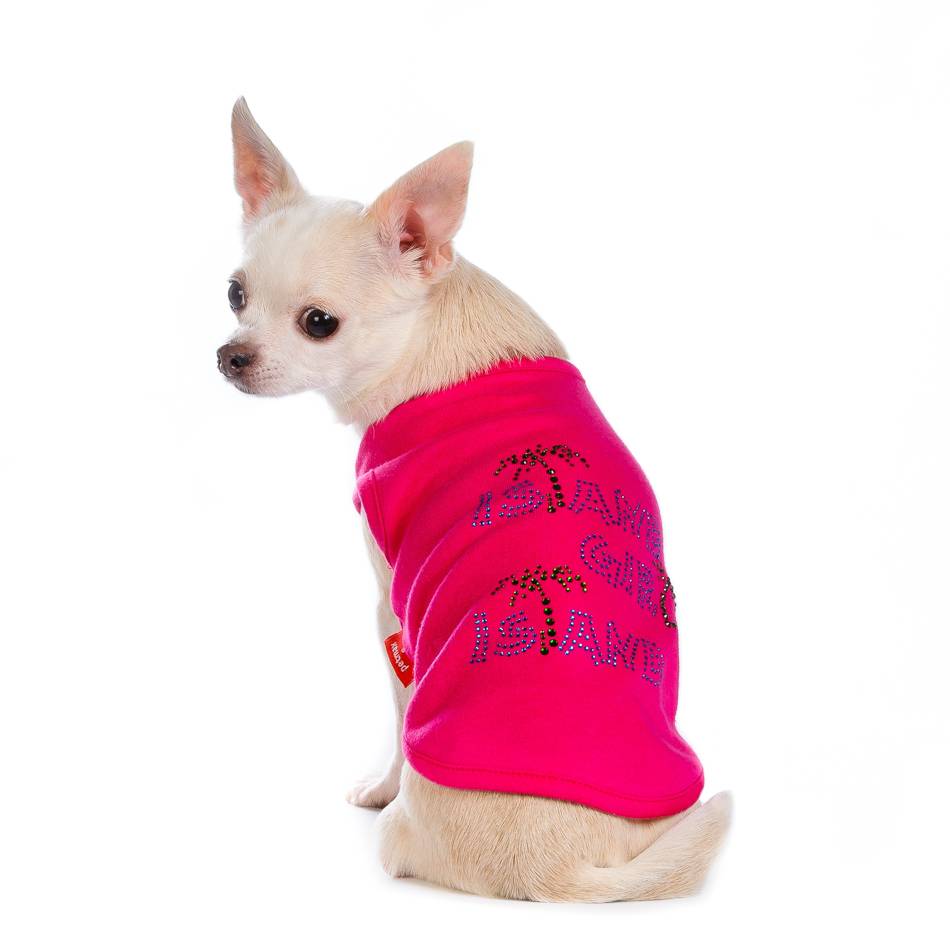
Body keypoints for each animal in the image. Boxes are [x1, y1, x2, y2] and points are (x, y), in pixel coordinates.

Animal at [218, 98, 732, 901]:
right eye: (234, 294)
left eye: (318, 324)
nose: (230, 356)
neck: (425, 342)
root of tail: (559, 871)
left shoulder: (393, 606)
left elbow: (399, 717)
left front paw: (378, 786)